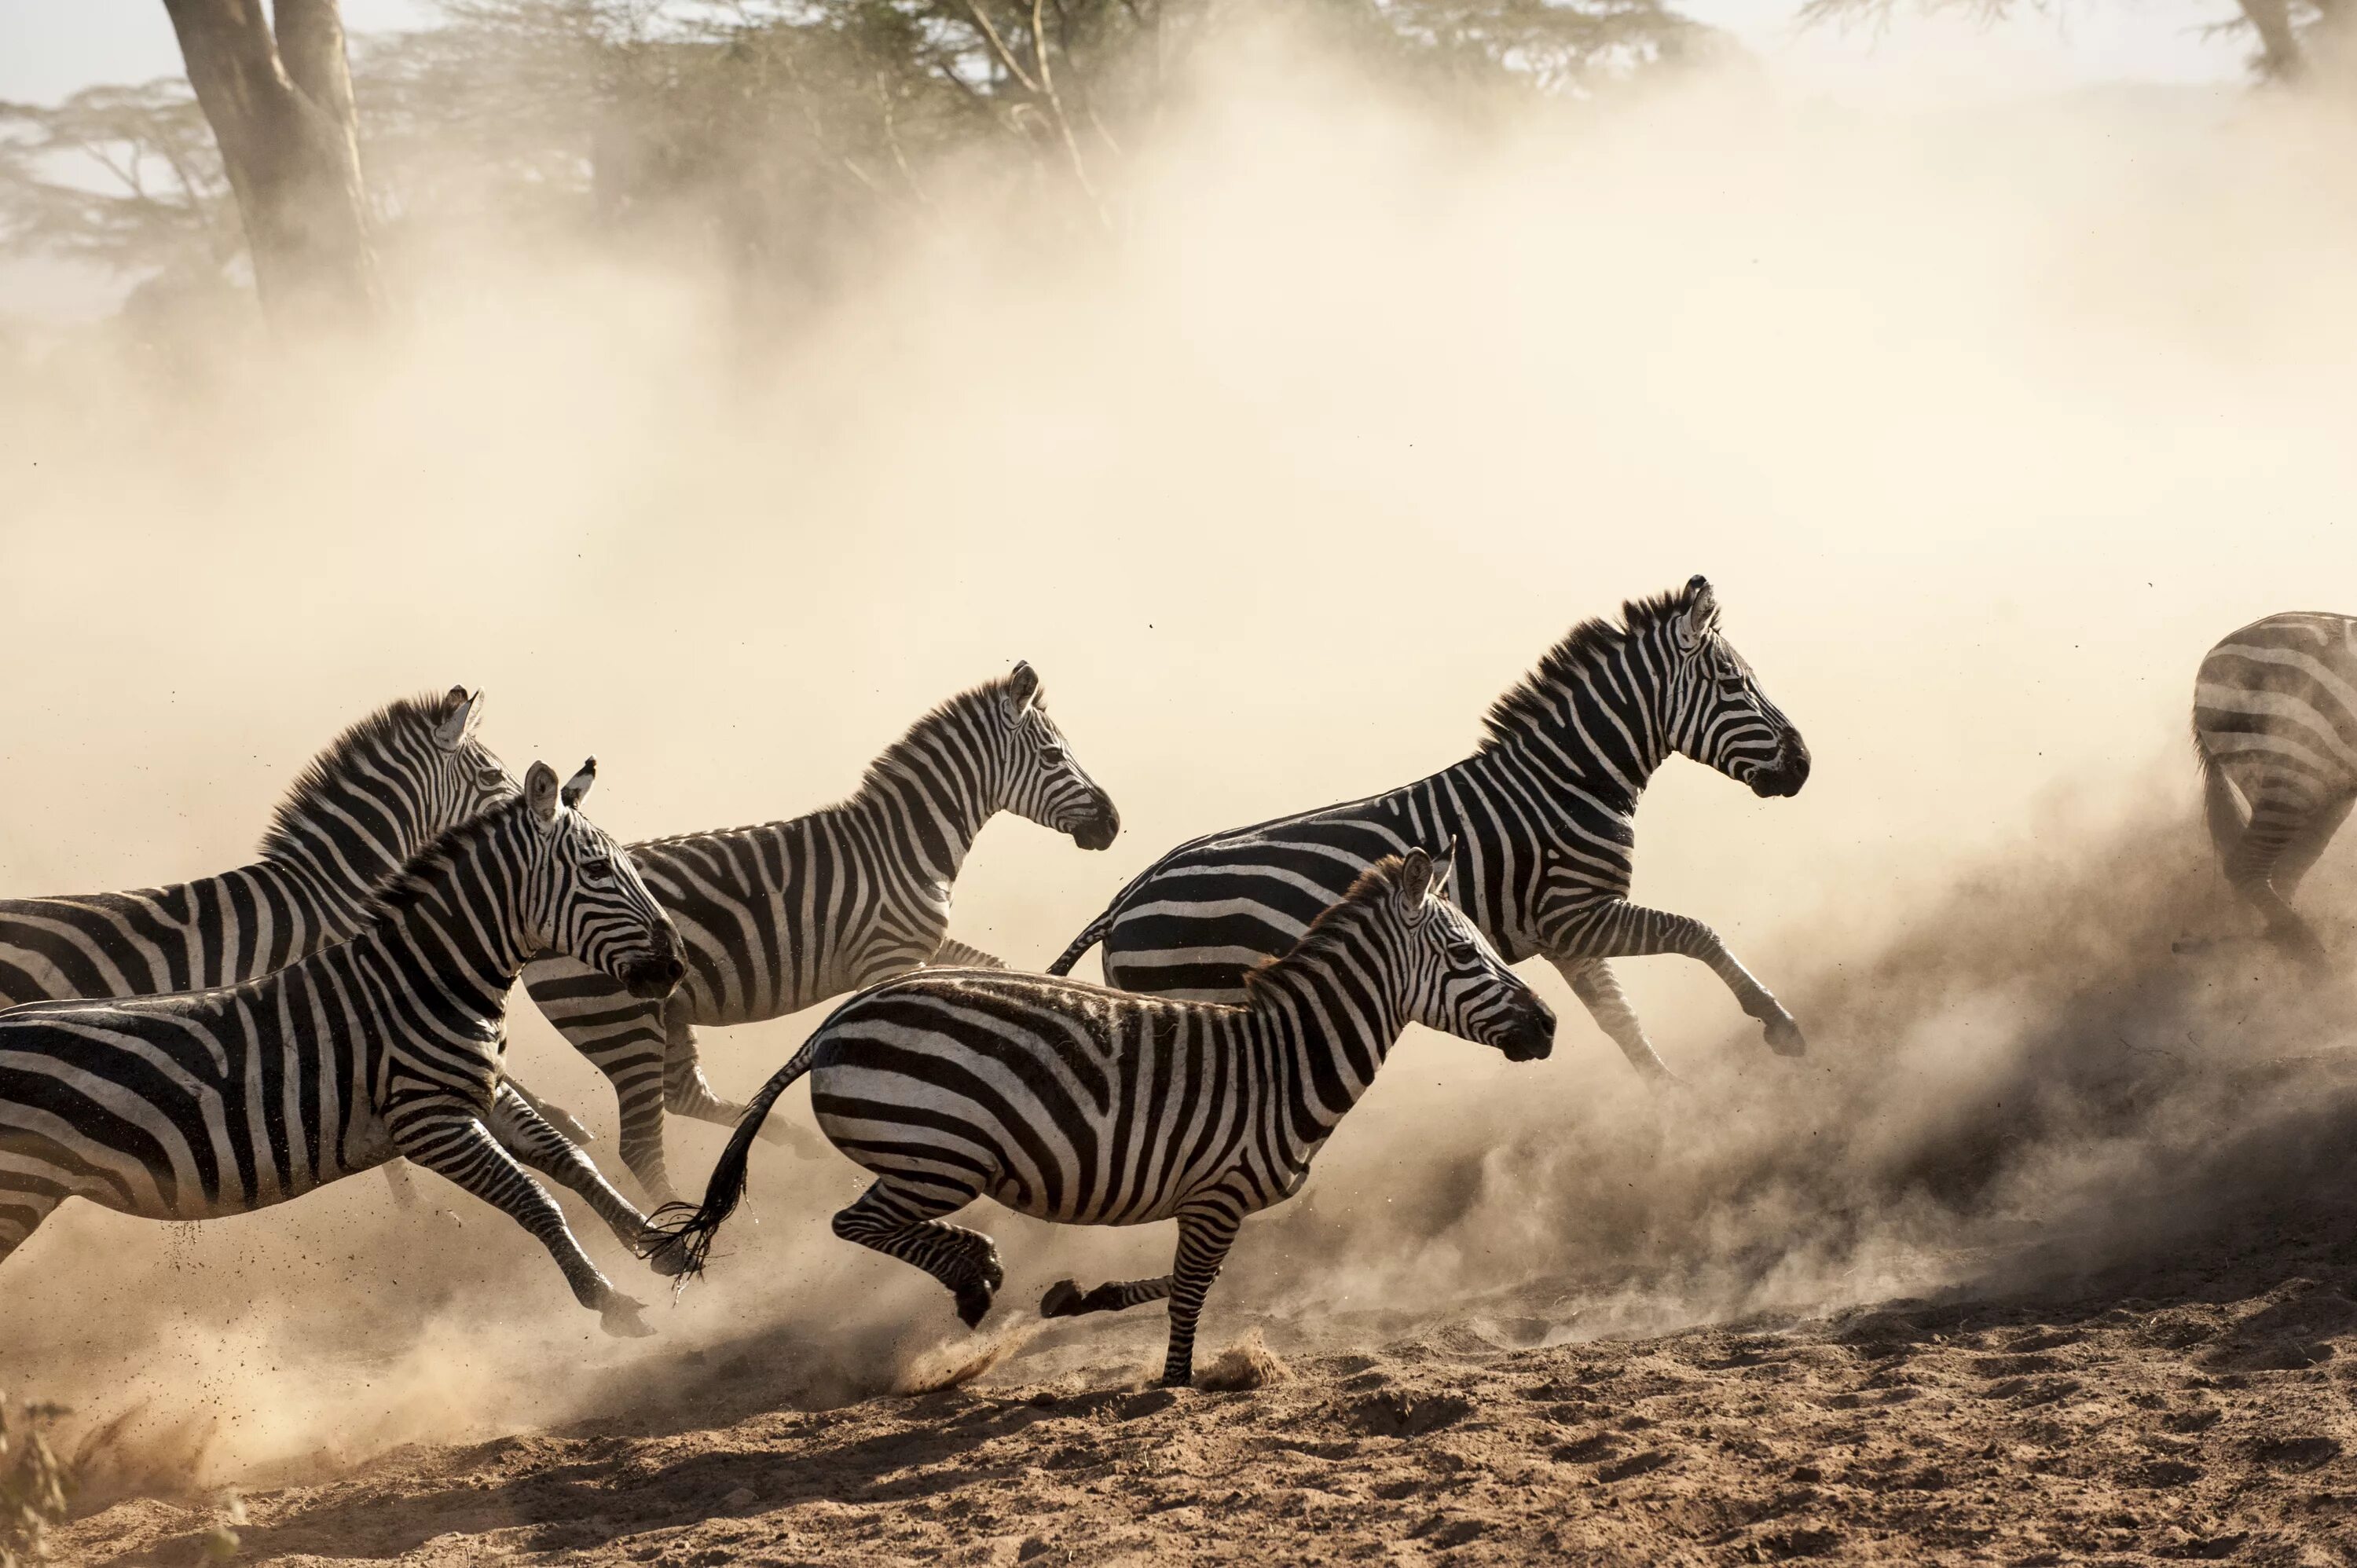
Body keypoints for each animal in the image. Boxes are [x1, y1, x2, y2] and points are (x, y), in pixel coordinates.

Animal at [0, 759, 693, 1329]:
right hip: (16, 1193)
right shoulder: (429, 1121)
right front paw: (609, 1299)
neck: (426, 977)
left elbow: (570, 1162)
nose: (676, 966)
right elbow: (536, 1198)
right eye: (598, 870)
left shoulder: (484, 1093)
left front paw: (664, 1246)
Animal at [519, 655, 1122, 1197]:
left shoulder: (923, 943)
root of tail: (529, 916)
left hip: (664, 1010)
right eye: (1053, 755)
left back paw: (790, 1143)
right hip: (620, 1022)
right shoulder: (888, 957)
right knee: (642, 1144)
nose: (1113, 825)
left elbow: (994, 968)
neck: (905, 845)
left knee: (685, 1096)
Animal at [655, 844, 1556, 1386]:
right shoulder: (1219, 1194)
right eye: (1467, 953)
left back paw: (979, 1275)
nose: (1547, 1027)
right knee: (857, 1223)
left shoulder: (1208, 1200)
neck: (1287, 1059)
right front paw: (1176, 1381)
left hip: (927, 1158)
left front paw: (1078, 1297)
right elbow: (1192, 1291)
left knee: (872, 1224)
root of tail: (839, 1019)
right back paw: (973, 1274)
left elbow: (1189, 1281)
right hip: (938, 1156)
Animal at [1047, 580, 1801, 1084]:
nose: (1804, 765)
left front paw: (1668, 1096)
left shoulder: (1565, 936)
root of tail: (1125, 898)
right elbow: (1696, 933)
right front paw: (1777, 1021)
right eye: (1735, 683)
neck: (1566, 781)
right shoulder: (1577, 912)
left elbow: (1621, 1022)